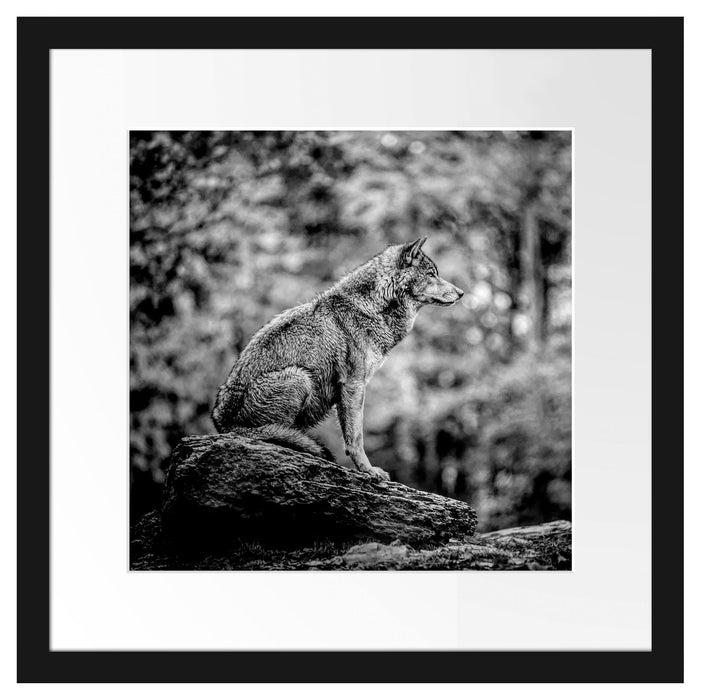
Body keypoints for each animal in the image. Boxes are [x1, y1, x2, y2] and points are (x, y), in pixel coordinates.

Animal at [211, 237, 464, 480]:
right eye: (431, 274)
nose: (462, 293)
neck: (372, 308)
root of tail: (222, 423)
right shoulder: (353, 384)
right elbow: (356, 437)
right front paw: (368, 470)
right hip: (299, 377)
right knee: (276, 433)